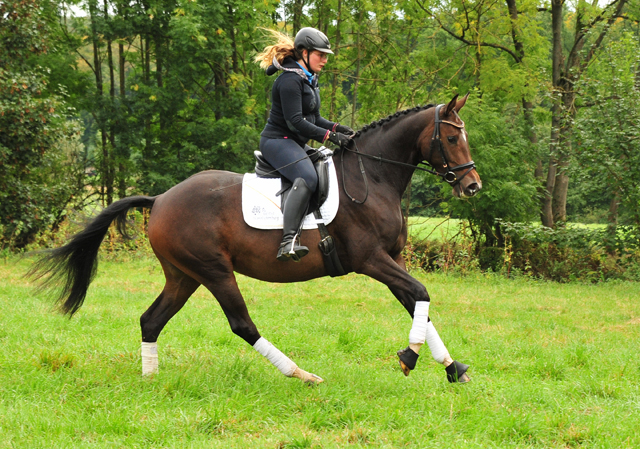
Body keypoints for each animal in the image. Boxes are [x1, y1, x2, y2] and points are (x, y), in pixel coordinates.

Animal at [28, 93, 480, 384]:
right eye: (452, 138)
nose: (472, 185)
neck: (373, 176)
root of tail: (161, 198)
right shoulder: (370, 259)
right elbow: (420, 294)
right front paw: (410, 357)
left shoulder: (392, 259)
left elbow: (417, 302)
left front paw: (451, 367)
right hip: (213, 271)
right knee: (241, 323)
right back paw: (301, 374)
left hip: (183, 275)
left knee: (151, 320)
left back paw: (150, 379)